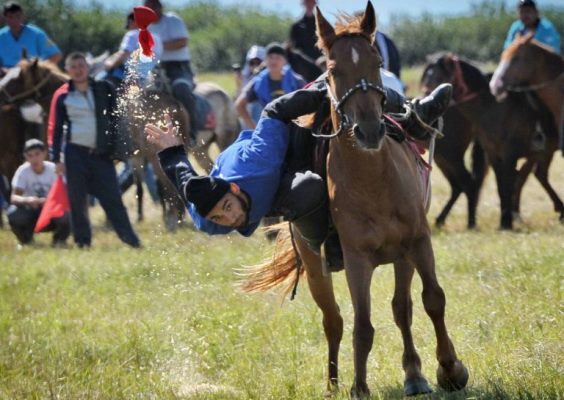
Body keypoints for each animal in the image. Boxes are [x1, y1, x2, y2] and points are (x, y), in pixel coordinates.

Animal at [243, 2, 468, 398]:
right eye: (333, 70)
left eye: (377, 62)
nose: (369, 130)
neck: (374, 183)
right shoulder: (357, 259)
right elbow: (362, 325)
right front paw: (358, 386)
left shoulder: (418, 242)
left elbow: (432, 300)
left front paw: (450, 369)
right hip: (315, 267)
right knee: (333, 320)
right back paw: (332, 383)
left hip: (402, 257)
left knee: (402, 308)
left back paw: (413, 374)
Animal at [421, 52, 564, 228]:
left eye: (439, 78)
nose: (426, 106)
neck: (492, 108)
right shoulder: (494, 155)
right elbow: (502, 186)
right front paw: (504, 221)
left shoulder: (509, 155)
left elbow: (507, 184)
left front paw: (506, 222)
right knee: (534, 176)